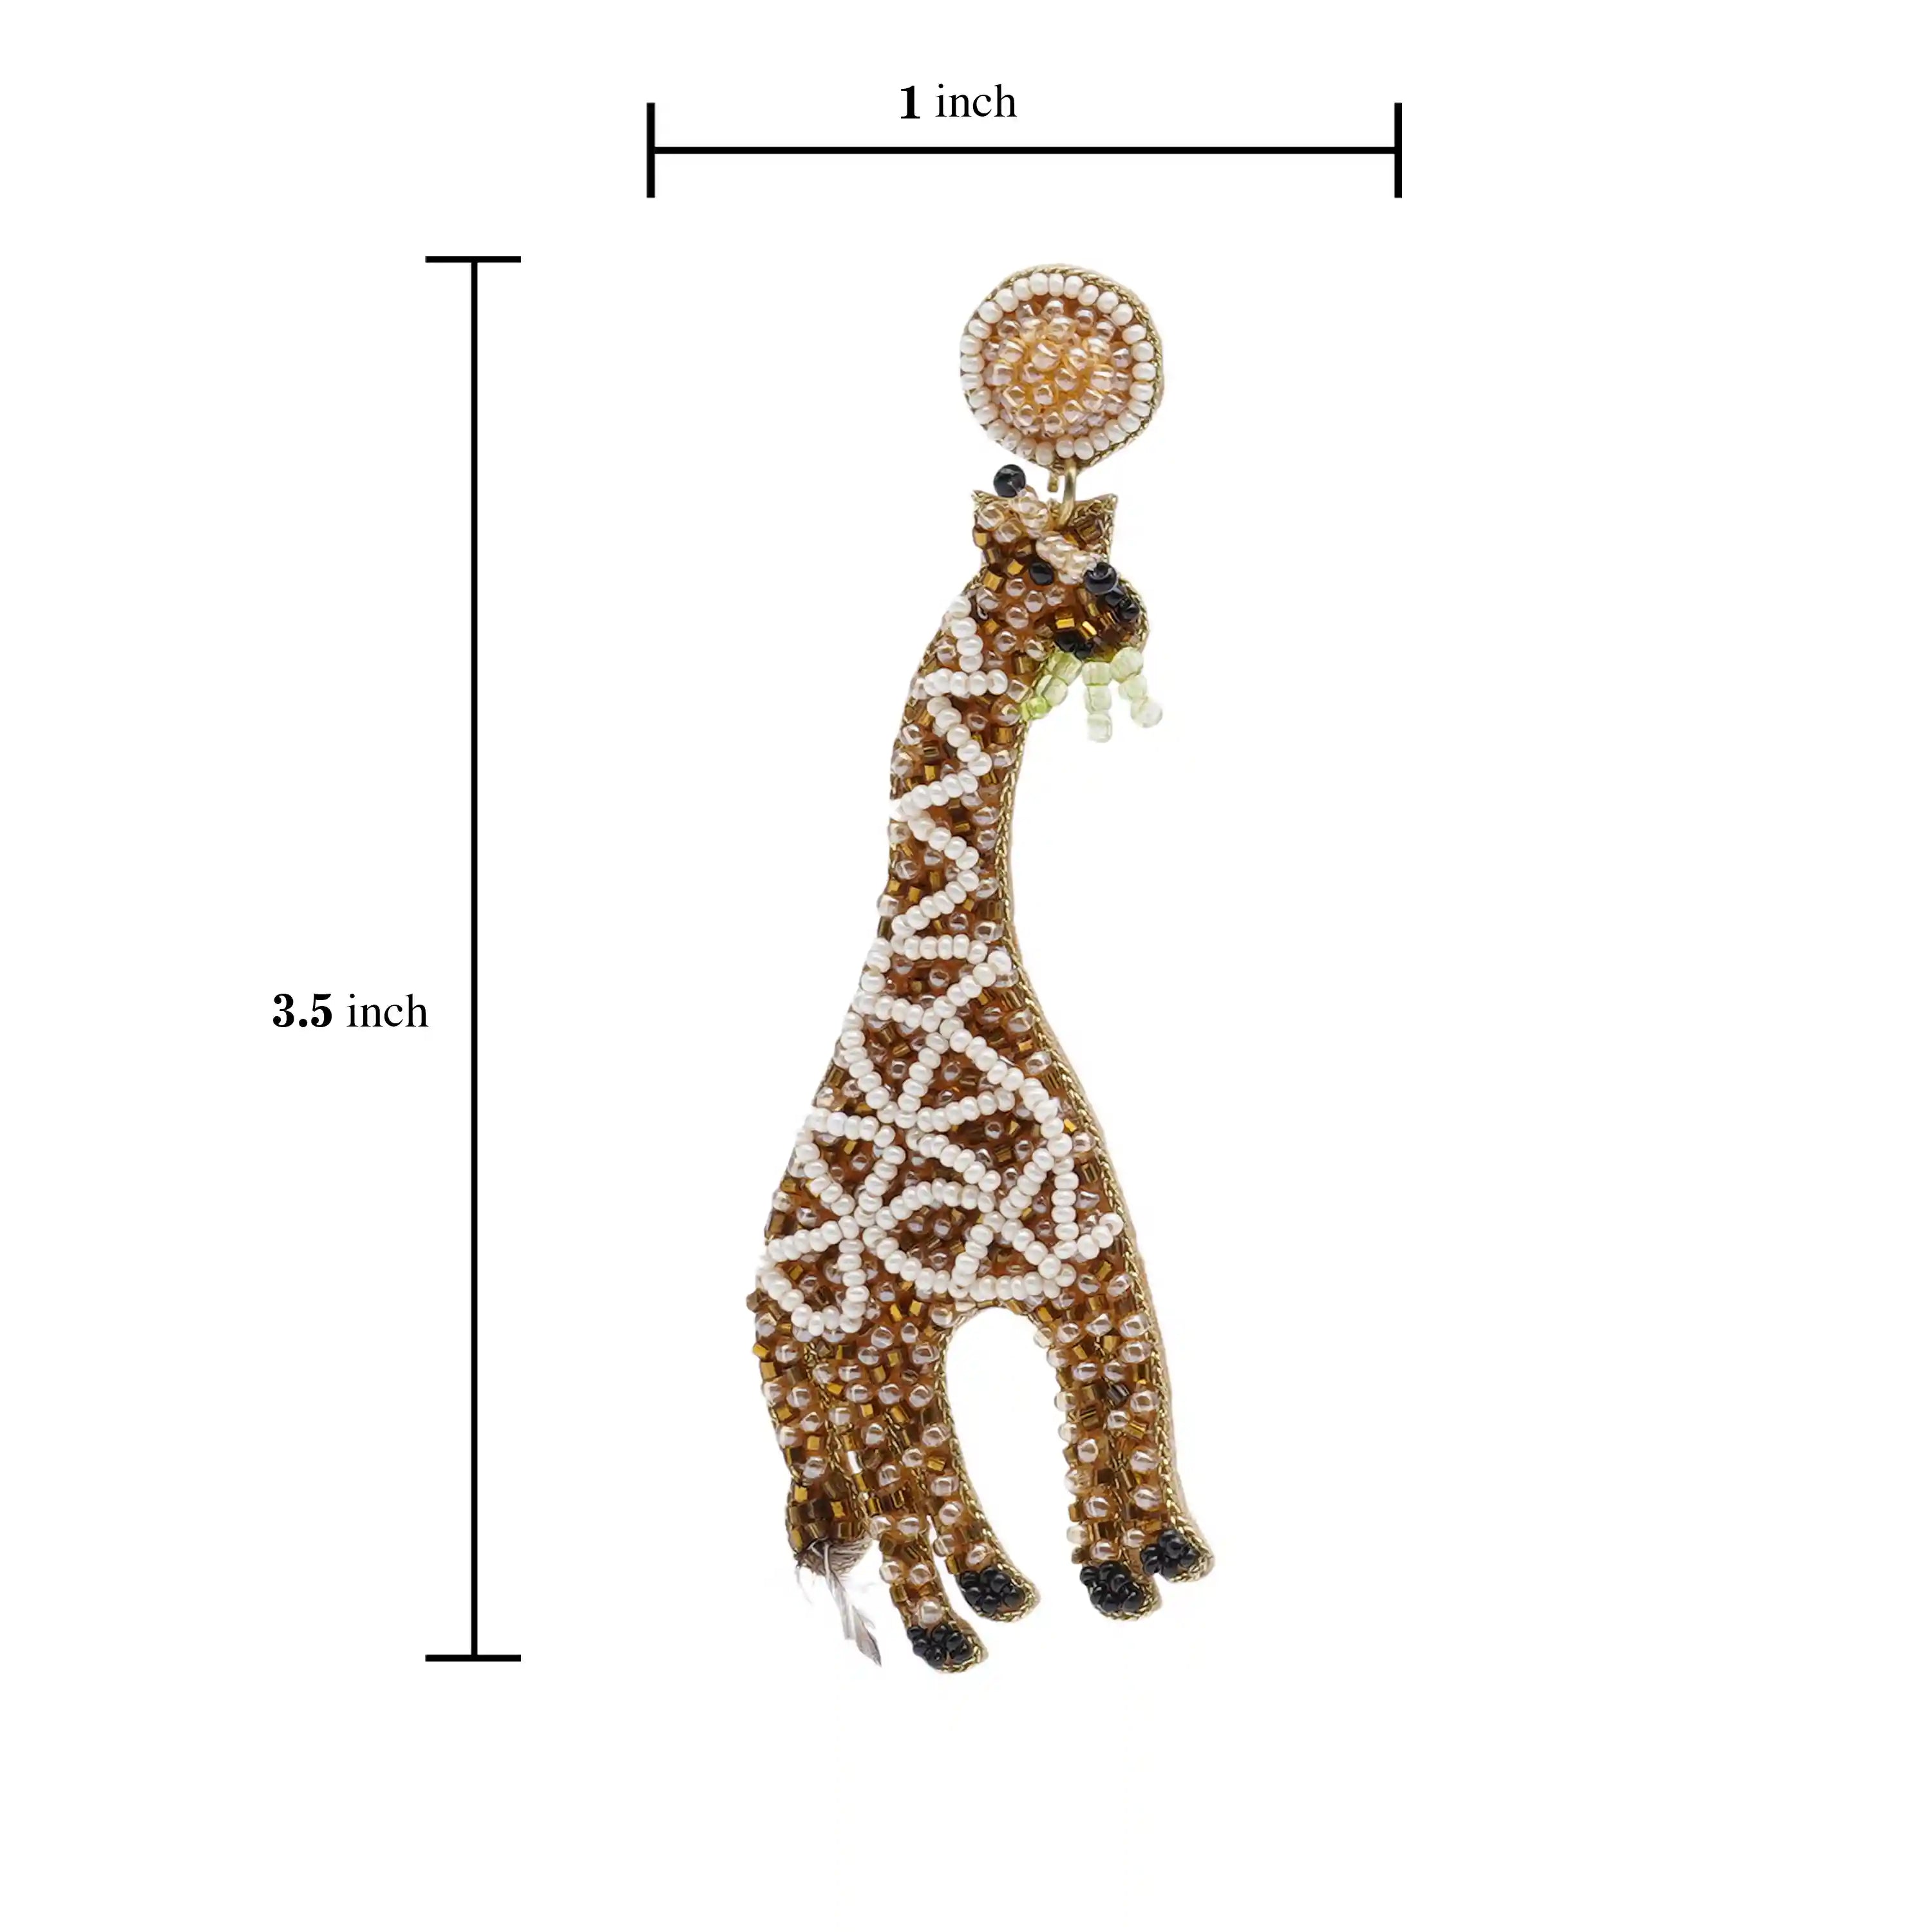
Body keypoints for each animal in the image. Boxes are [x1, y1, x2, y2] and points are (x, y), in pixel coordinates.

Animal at [751, 469, 1211, 1670]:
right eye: (1031, 566)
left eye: (1097, 552)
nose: (1123, 611)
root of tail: (760, 1305)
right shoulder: (1070, 1260)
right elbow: (1111, 1406)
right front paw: (1123, 1569)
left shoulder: (1083, 1265)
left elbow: (1119, 1399)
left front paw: (1153, 1555)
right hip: (860, 1352)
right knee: (899, 1497)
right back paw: (943, 1635)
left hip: (885, 1358)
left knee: (919, 1472)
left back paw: (997, 1591)